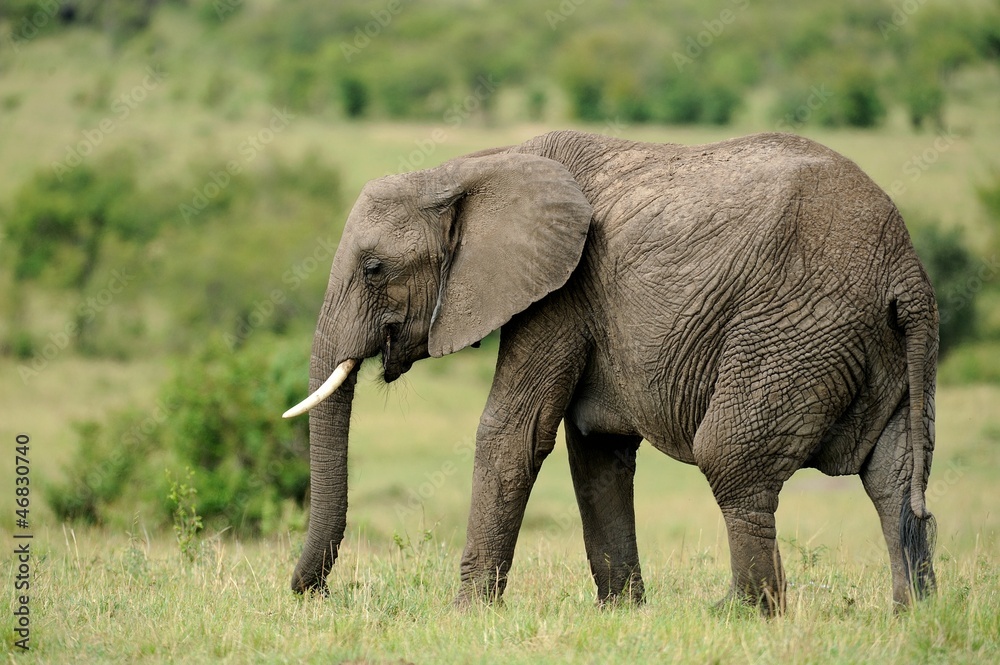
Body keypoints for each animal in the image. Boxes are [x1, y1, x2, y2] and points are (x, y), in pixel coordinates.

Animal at [283, 130, 937, 614]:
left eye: (373, 268)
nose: (313, 593)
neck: (474, 166)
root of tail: (905, 268)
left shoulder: (560, 290)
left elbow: (514, 434)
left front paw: (466, 615)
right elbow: (595, 448)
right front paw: (623, 613)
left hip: (793, 328)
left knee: (732, 460)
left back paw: (740, 614)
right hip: (884, 346)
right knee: (896, 478)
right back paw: (913, 617)